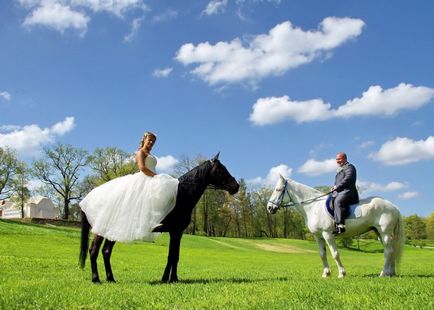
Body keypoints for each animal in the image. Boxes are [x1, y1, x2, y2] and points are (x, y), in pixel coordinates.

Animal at [79, 153, 239, 284]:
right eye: (221, 170)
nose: (236, 186)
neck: (182, 194)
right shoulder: (175, 232)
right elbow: (172, 256)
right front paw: (168, 279)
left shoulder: (177, 233)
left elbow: (175, 255)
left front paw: (172, 278)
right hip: (101, 231)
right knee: (93, 251)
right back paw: (96, 279)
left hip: (113, 231)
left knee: (106, 252)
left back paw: (111, 278)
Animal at [266, 174, 406, 278]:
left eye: (278, 190)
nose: (269, 207)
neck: (313, 206)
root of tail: (393, 206)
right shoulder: (318, 236)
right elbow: (322, 254)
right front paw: (326, 274)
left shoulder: (327, 234)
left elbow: (335, 253)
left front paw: (342, 274)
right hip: (379, 233)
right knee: (391, 251)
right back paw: (390, 273)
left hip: (385, 233)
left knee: (388, 252)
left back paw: (382, 274)